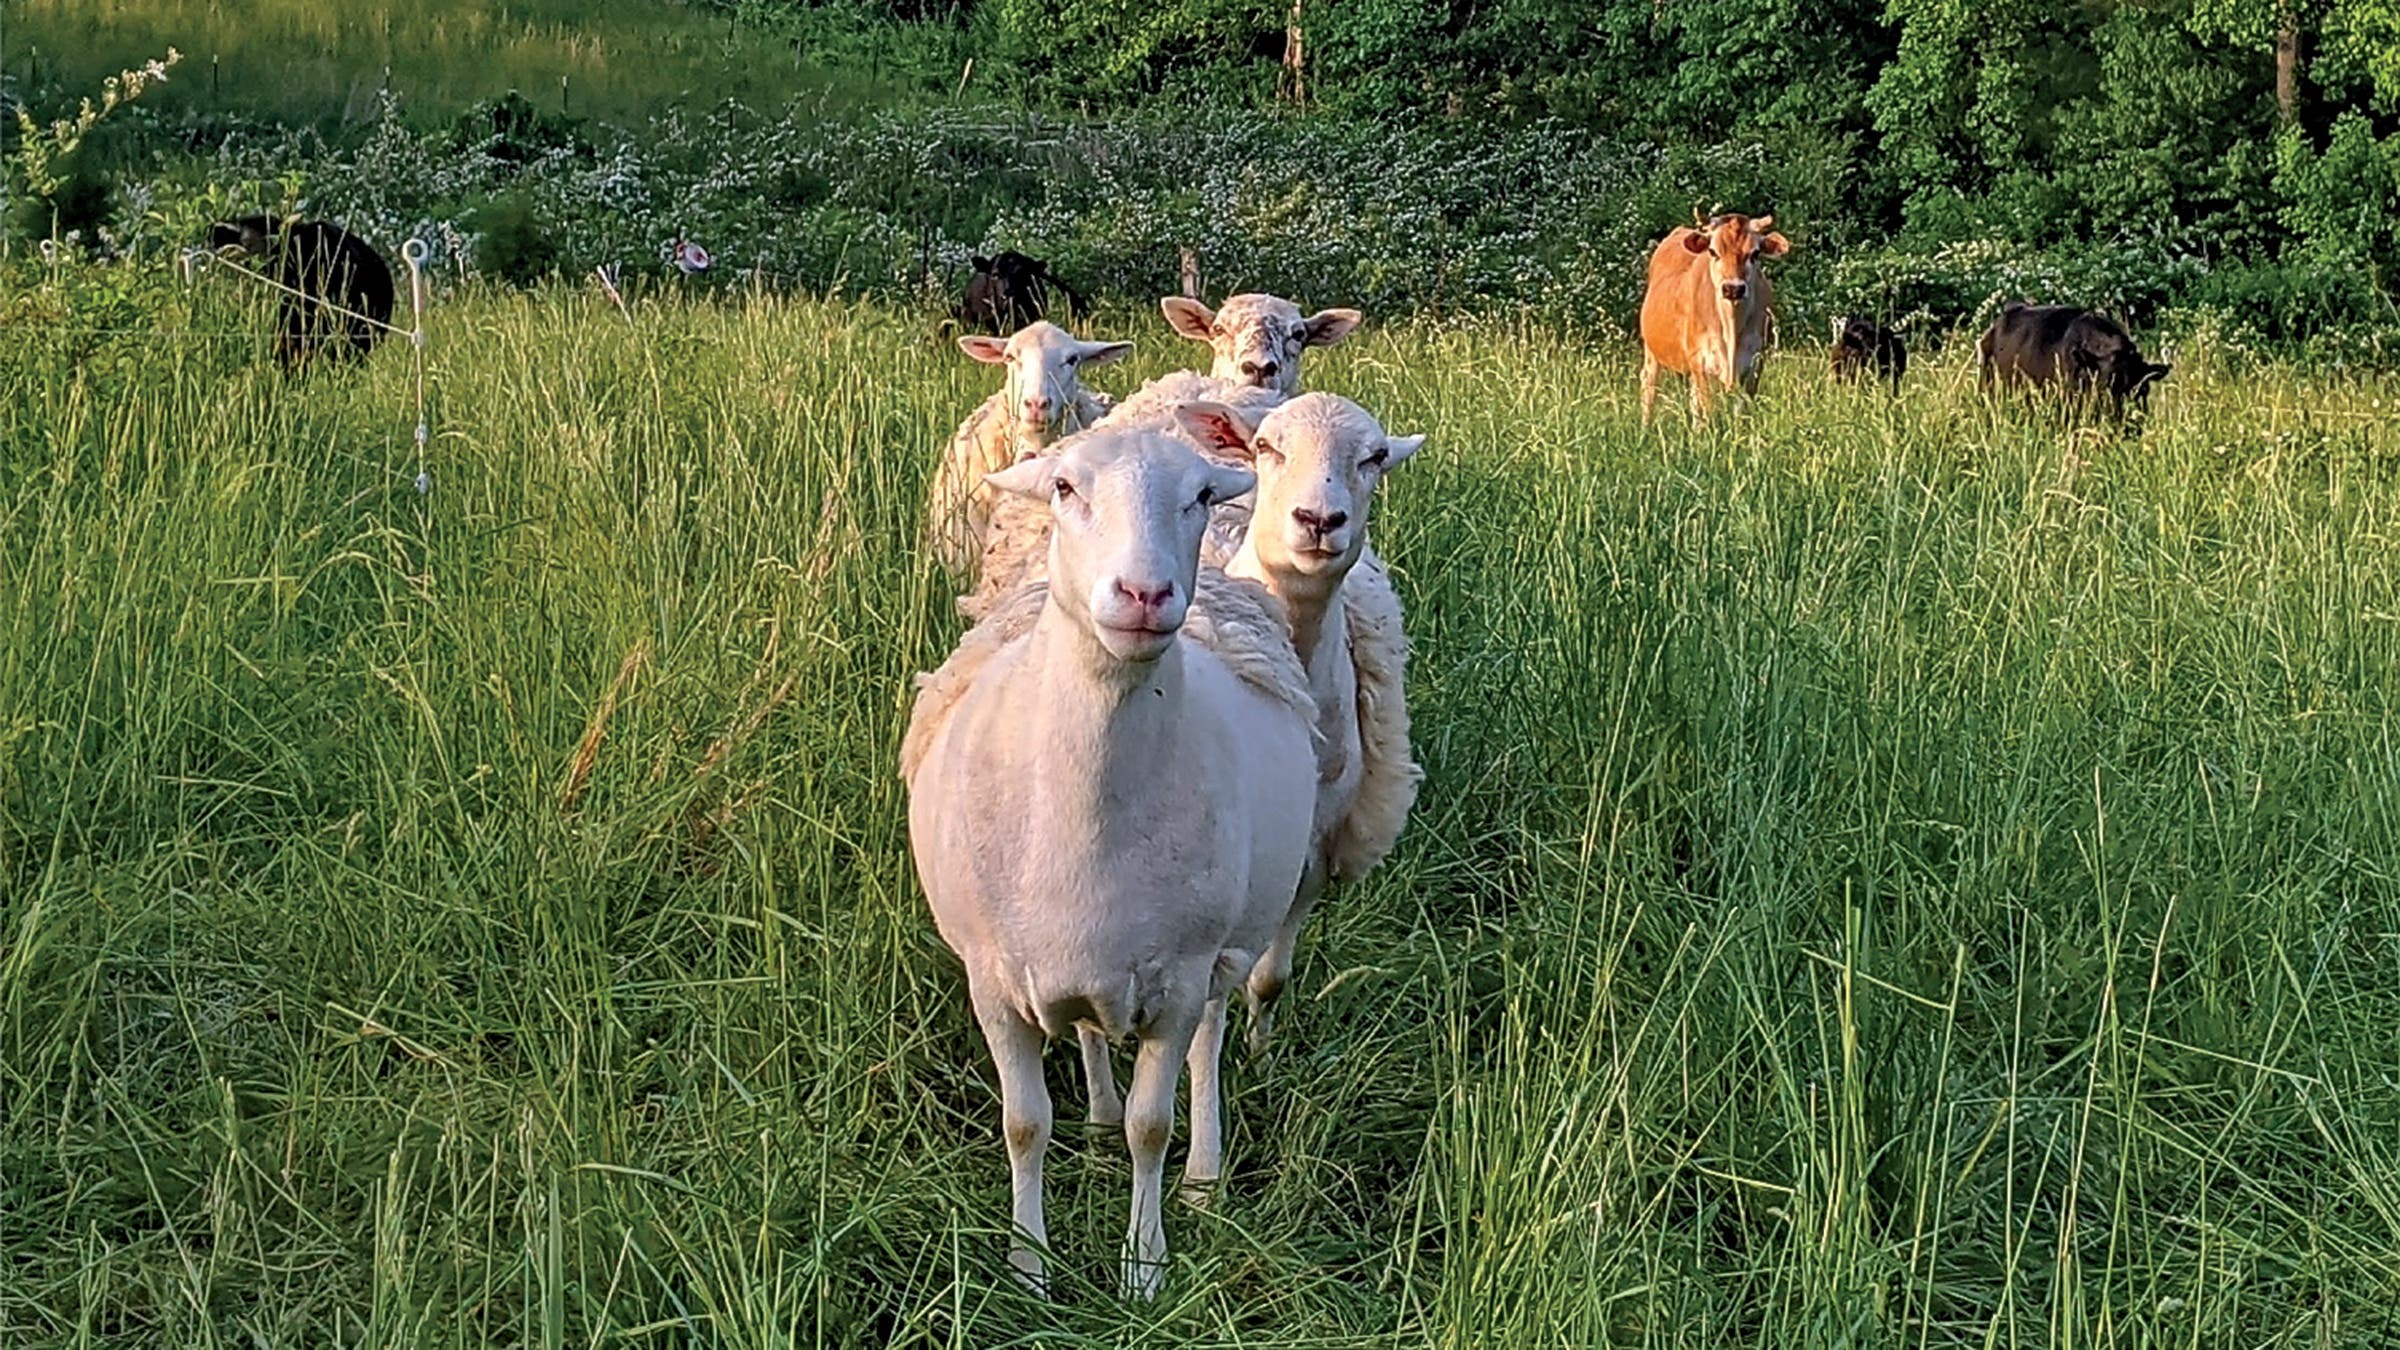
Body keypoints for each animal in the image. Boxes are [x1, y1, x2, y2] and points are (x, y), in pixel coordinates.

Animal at [901, 428, 1320, 1299]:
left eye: (1201, 495)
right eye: (1064, 487)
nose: (1144, 594)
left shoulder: (1180, 979)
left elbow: (1151, 1126)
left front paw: (1142, 1268)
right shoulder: (991, 979)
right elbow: (1024, 1124)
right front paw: (1029, 1268)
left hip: (1223, 952)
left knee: (1207, 1046)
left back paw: (1203, 1175)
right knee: (1093, 1035)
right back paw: (1094, 1124)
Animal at [1172, 393, 1425, 1053]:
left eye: (1375, 456)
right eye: (1267, 447)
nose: (1318, 519)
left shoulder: (1314, 850)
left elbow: (1270, 978)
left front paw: (1261, 1056)